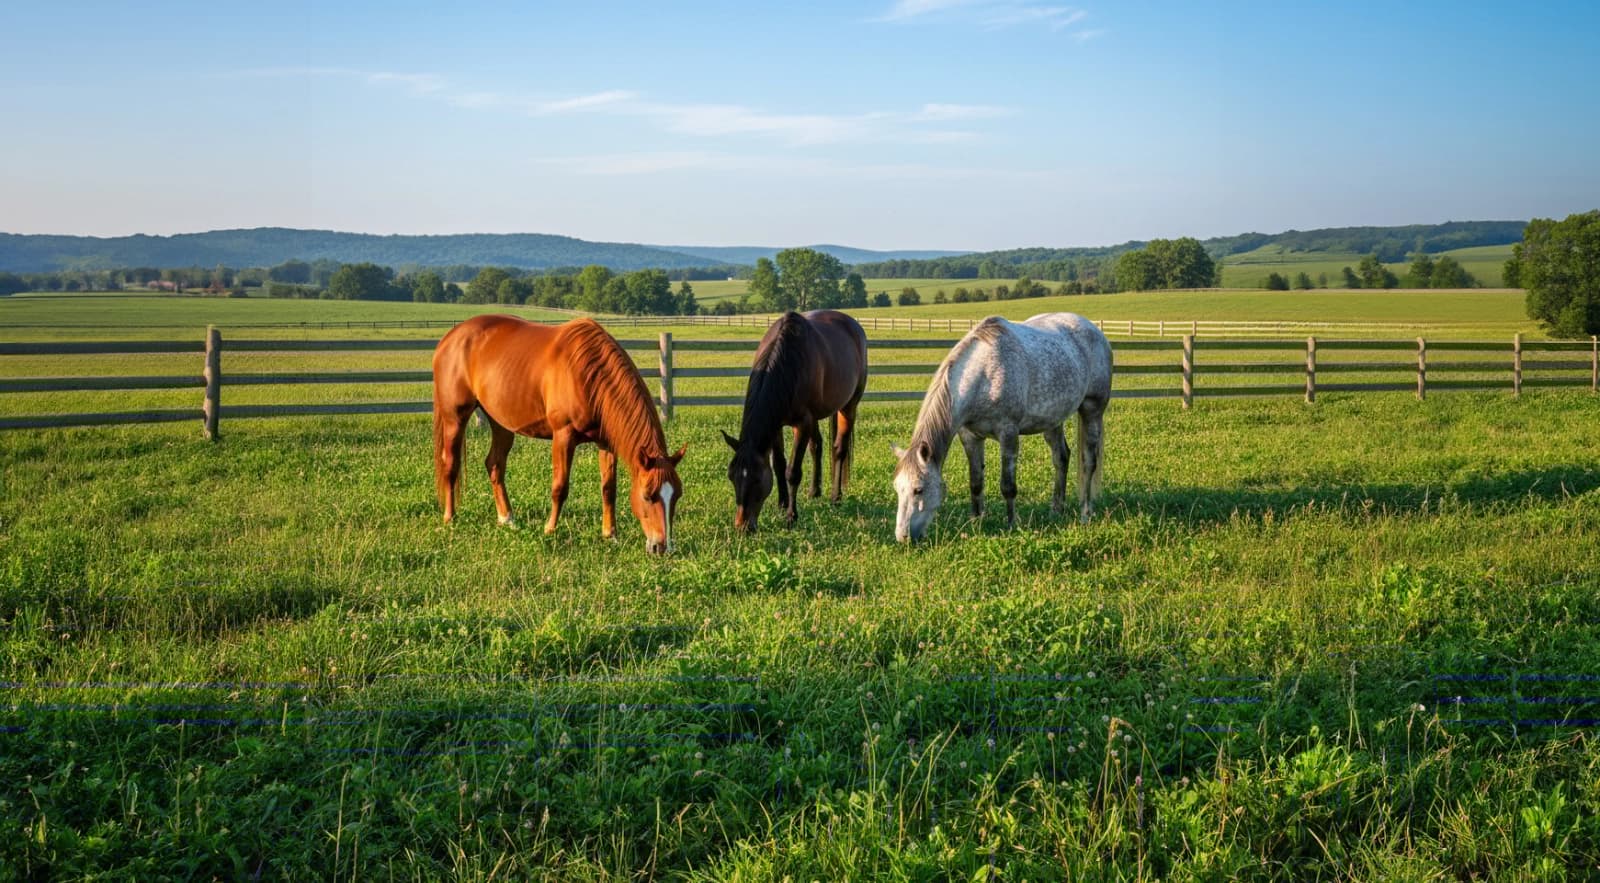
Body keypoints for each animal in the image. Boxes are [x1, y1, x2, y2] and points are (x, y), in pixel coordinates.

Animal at [432, 315, 686, 554]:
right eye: (647, 496)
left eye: (676, 495)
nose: (662, 547)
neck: (587, 373)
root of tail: (451, 337)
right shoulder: (563, 436)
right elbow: (560, 487)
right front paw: (550, 529)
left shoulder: (606, 443)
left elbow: (608, 489)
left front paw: (610, 535)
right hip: (455, 418)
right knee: (451, 465)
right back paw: (450, 518)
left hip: (501, 422)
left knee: (495, 464)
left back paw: (507, 519)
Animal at [720, 310, 868, 532]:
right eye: (731, 476)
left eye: (757, 478)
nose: (742, 526)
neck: (788, 363)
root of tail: (853, 324)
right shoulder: (776, 425)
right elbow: (778, 464)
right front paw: (782, 503)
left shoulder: (802, 423)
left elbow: (792, 471)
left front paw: (791, 516)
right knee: (817, 446)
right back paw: (814, 491)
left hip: (849, 406)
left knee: (839, 450)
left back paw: (836, 497)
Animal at [891, 312, 1111, 543]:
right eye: (897, 488)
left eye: (918, 490)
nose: (903, 536)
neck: (983, 376)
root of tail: (1095, 330)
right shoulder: (970, 437)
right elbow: (976, 483)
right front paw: (976, 522)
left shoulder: (1008, 433)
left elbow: (1008, 486)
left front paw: (1012, 524)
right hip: (1053, 420)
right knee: (1061, 458)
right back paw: (1056, 510)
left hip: (1092, 410)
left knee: (1089, 462)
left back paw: (1086, 512)